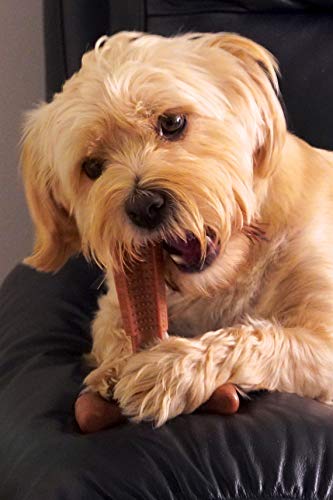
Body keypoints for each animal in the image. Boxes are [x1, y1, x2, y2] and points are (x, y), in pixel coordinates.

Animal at [20, 31, 332, 426]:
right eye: (92, 167)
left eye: (172, 122)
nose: (144, 206)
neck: (225, 276)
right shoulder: (115, 301)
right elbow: (114, 329)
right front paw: (117, 366)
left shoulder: (323, 341)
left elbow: (256, 338)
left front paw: (166, 370)